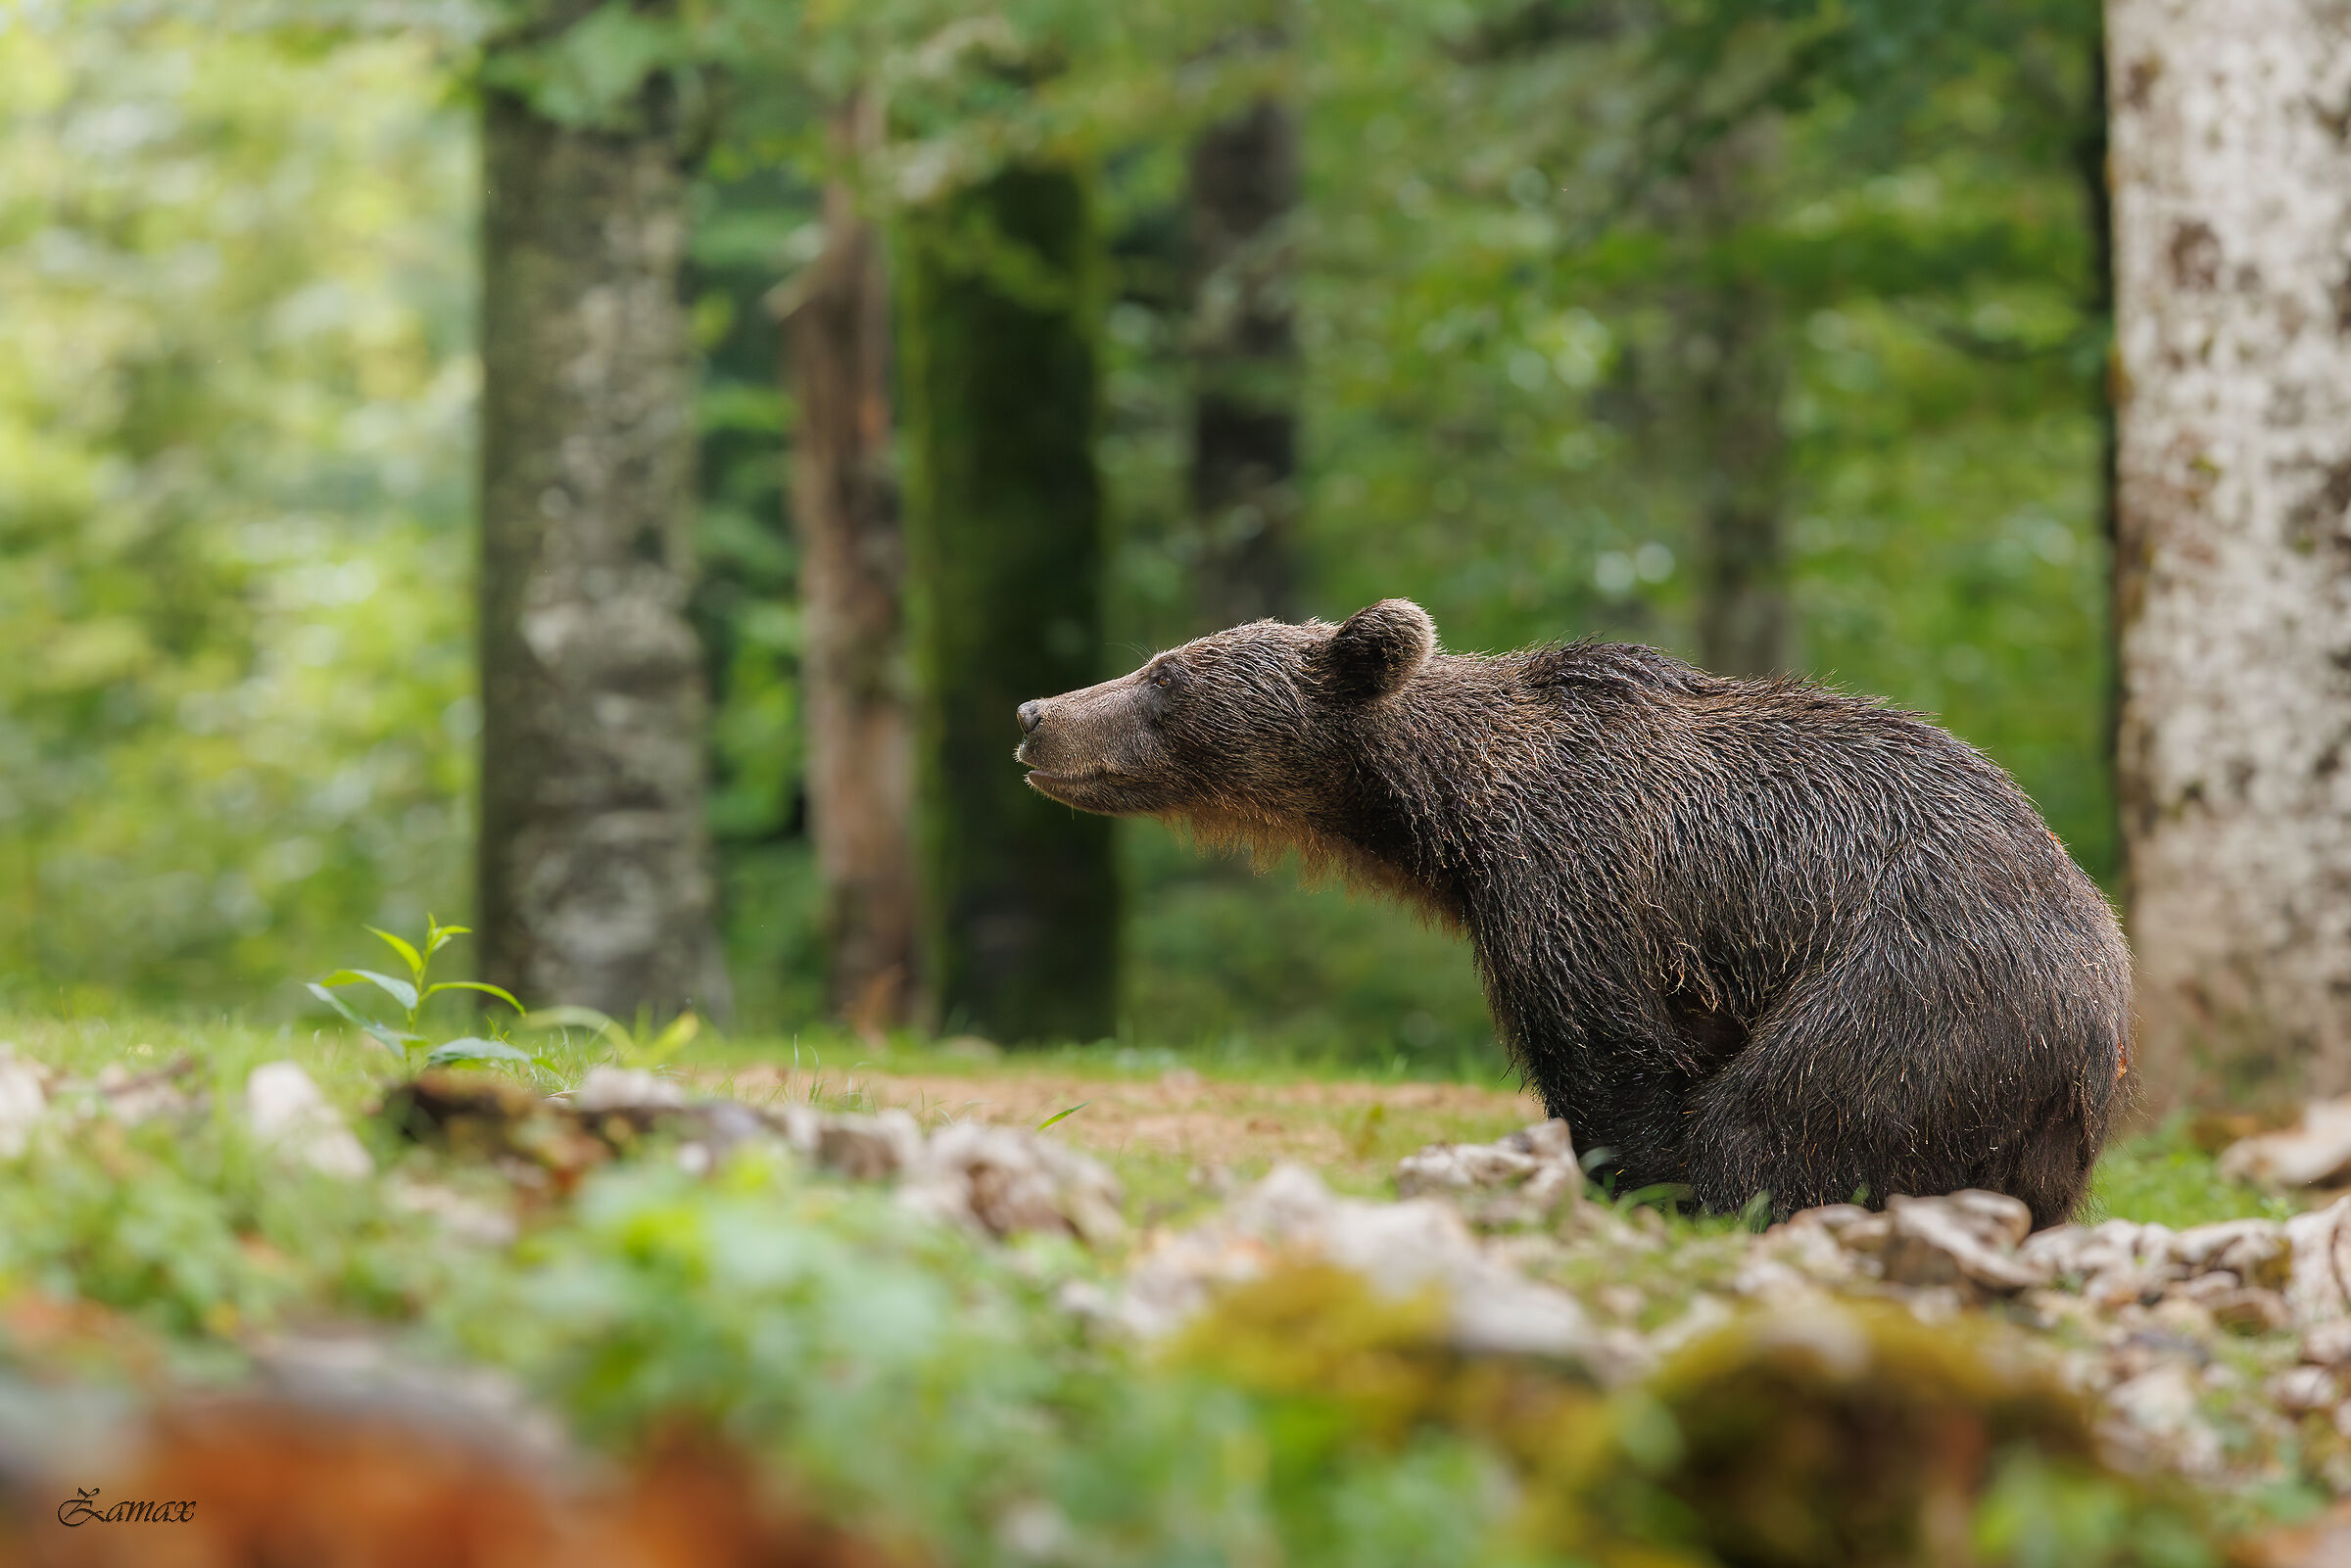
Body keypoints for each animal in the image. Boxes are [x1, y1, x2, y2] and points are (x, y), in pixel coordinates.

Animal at [1013, 598, 2129, 1227]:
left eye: (1167, 676)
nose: (1035, 713)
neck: (1453, 812)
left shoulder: (1574, 876)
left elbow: (1610, 1063)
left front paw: (1635, 1189)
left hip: (1912, 996)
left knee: (1778, 1121)